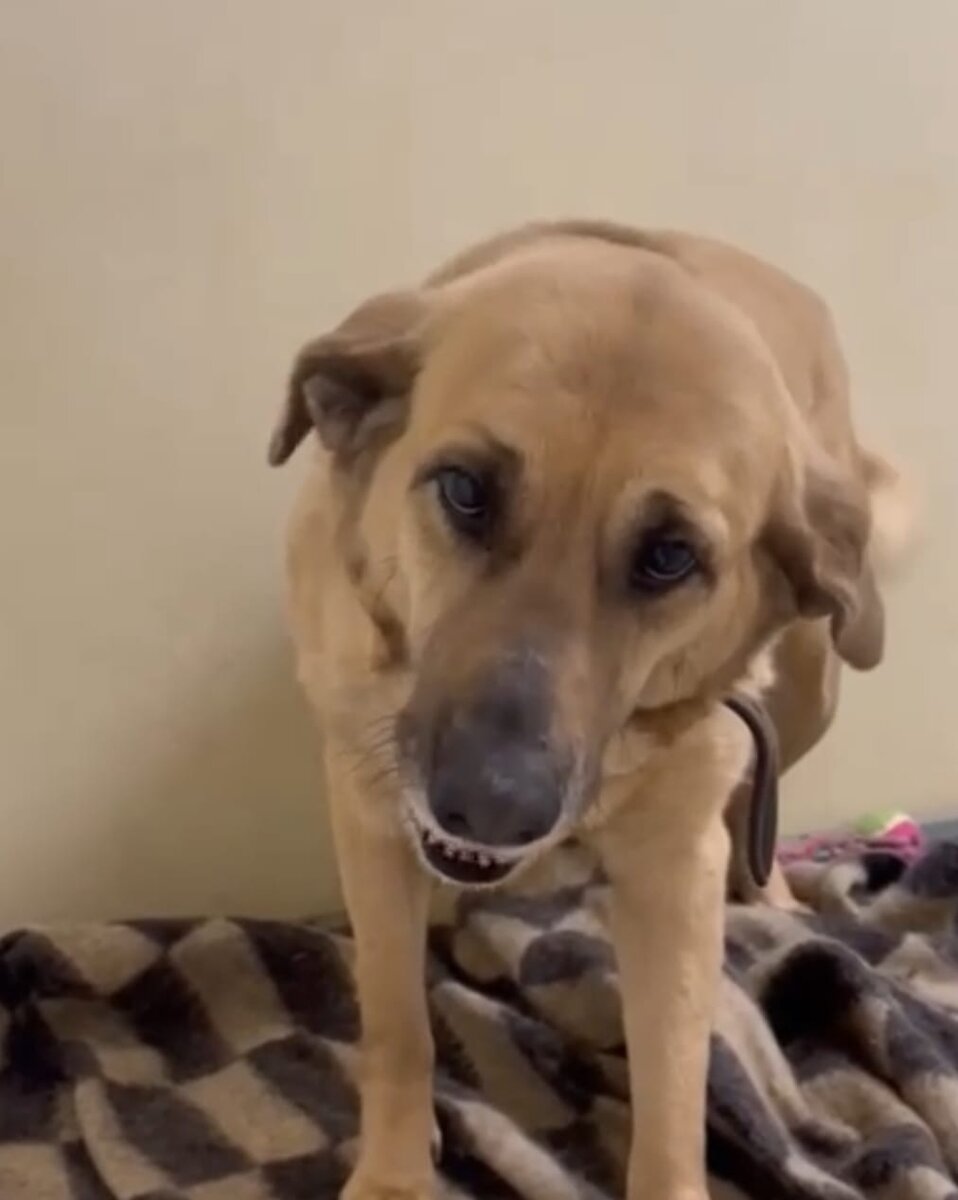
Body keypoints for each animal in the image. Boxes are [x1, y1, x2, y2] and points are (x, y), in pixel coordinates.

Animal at [269, 221, 911, 1200]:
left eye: (670, 556)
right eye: (463, 490)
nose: (492, 806)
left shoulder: (675, 875)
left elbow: (676, 1086)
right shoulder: (369, 814)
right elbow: (396, 1023)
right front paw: (392, 1173)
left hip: (814, 684)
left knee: (759, 818)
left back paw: (773, 896)